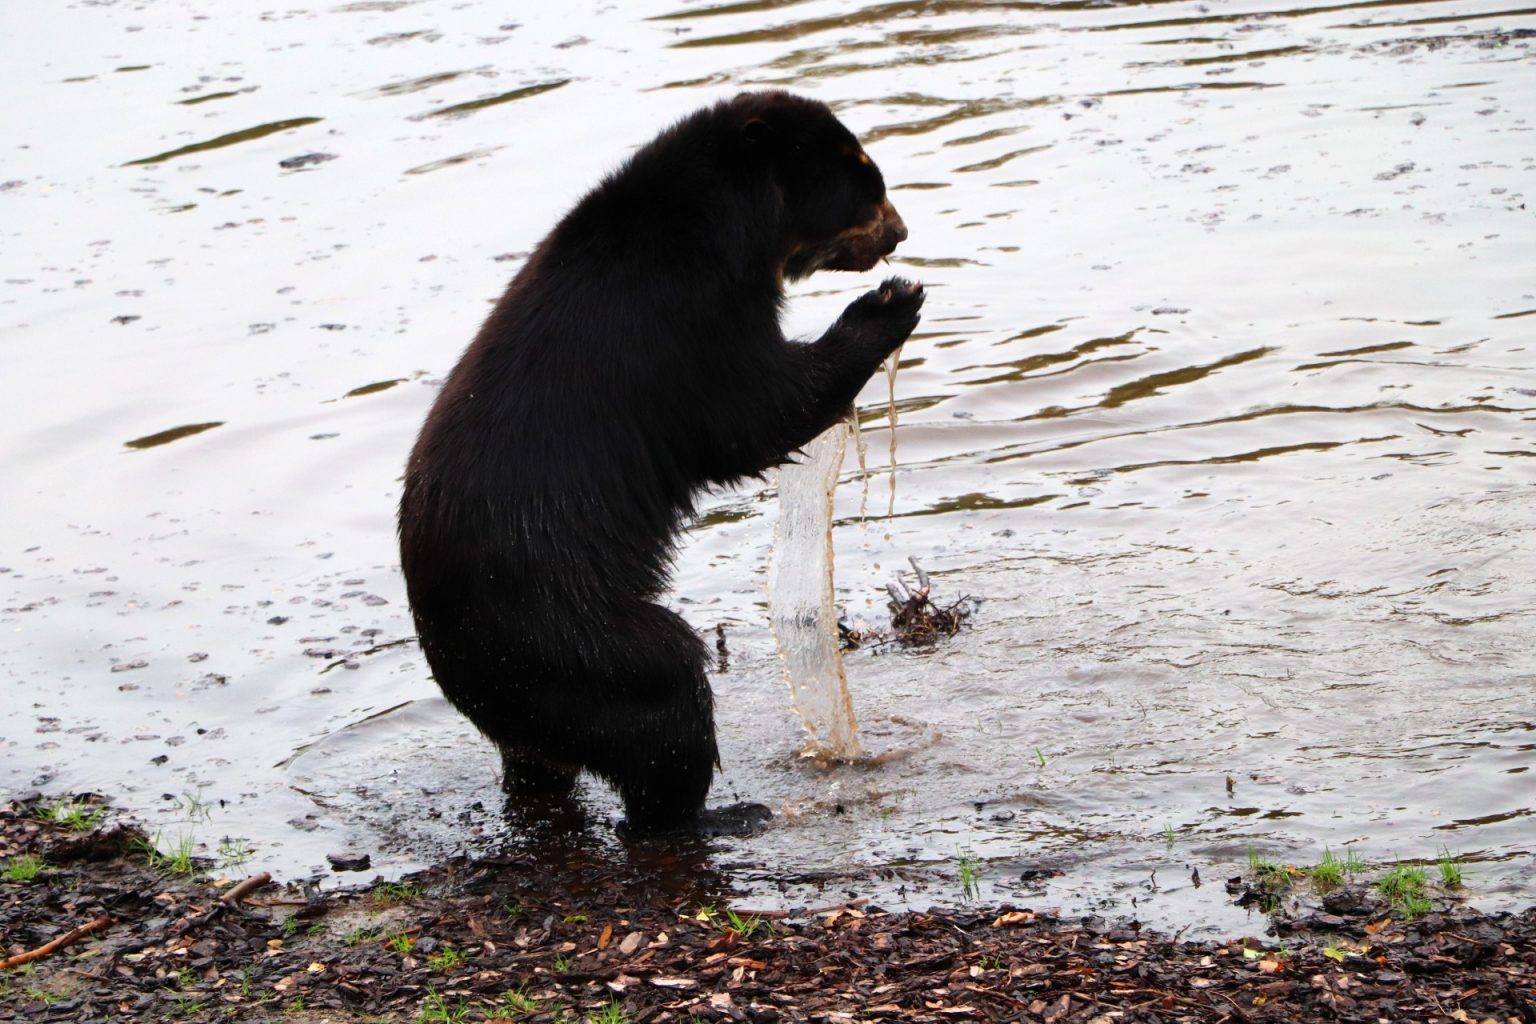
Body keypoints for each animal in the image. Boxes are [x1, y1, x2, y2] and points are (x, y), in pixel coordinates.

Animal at [399, 90, 921, 835]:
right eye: (865, 178)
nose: (898, 234)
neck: (726, 220)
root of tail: (452, 655)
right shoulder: (683, 316)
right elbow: (751, 412)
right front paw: (889, 304)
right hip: (574, 638)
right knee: (666, 707)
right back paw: (718, 813)